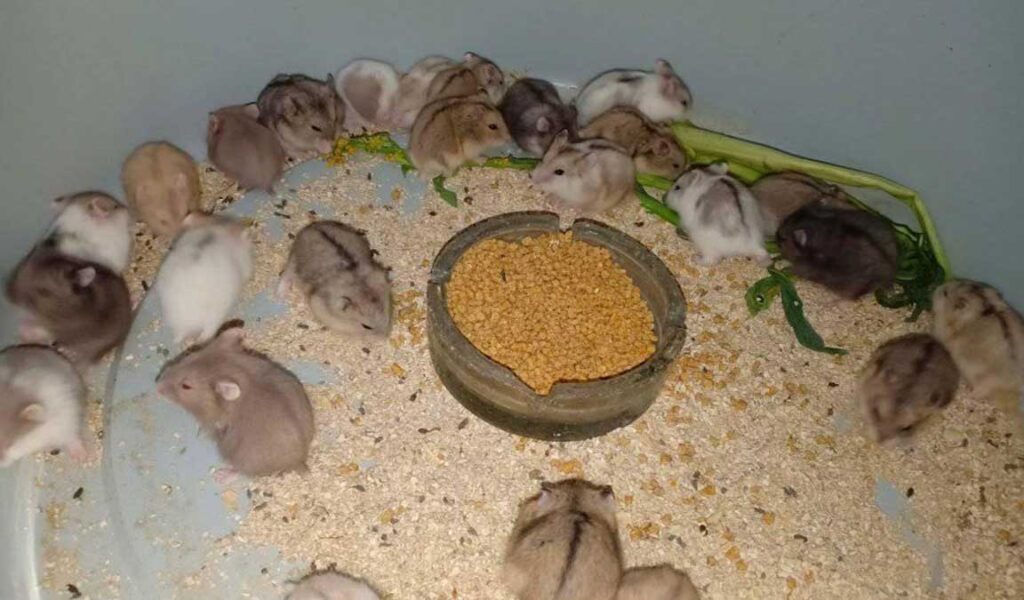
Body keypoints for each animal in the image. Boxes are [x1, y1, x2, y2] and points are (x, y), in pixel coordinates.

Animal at [155, 325, 314, 477]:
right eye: (189, 355)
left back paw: (220, 475)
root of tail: (300, 462)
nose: (157, 386)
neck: (237, 370)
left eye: (186, 386)